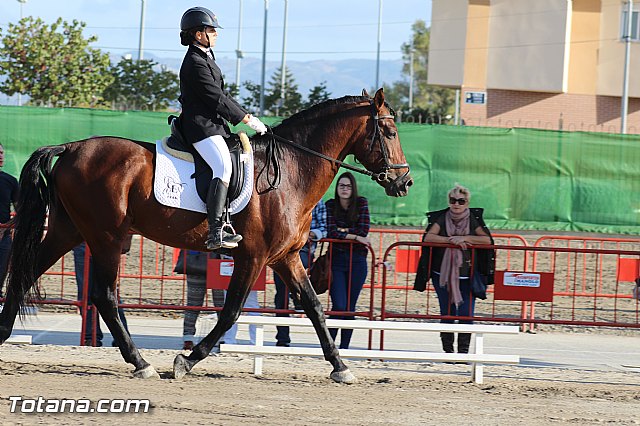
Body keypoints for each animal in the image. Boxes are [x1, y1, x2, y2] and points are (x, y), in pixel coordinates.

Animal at [0, 88, 410, 382]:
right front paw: (187, 360)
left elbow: (314, 308)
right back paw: (141, 363)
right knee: (104, 296)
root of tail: (71, 147)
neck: (291, 172)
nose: (404, 182)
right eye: (389, 132)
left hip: (70, 231)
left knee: (27, 273)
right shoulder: (253, 257)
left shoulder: (286, 257)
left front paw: (341, 367)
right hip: (106, 238)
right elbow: (229, 313)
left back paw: (4, 333)